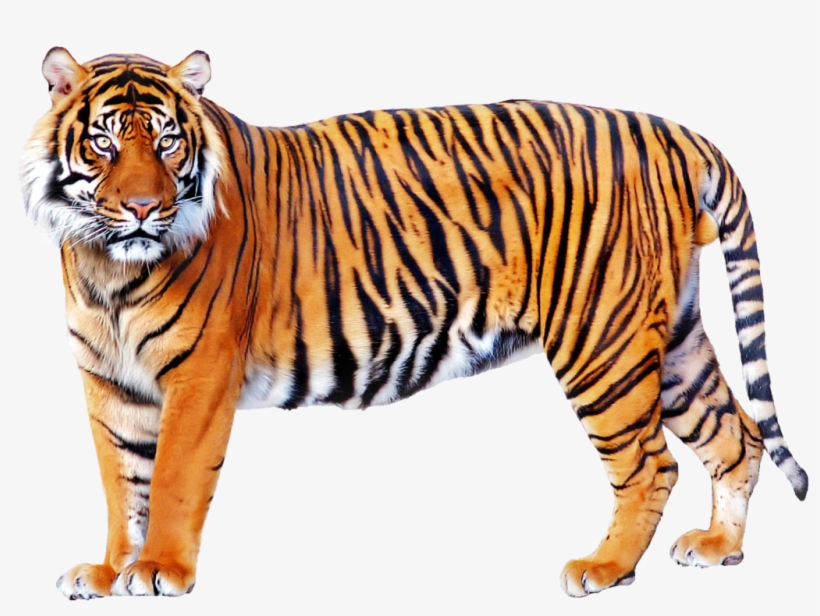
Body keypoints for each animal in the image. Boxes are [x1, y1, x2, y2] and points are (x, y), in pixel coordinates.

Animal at [20, 47, 808, 600]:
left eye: (167, 143)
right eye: (104, 144)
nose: (144, 209)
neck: (107, 270)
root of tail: (674, 132)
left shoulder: (200, 374)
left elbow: (173, 479)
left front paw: (159, 570)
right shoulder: (109, 383)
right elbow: (123, 484)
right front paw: (110, 570)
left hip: (602, 342)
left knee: (650, 464)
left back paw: (605, 568)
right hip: (670, 340)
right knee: (735, 435)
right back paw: (720, 550)